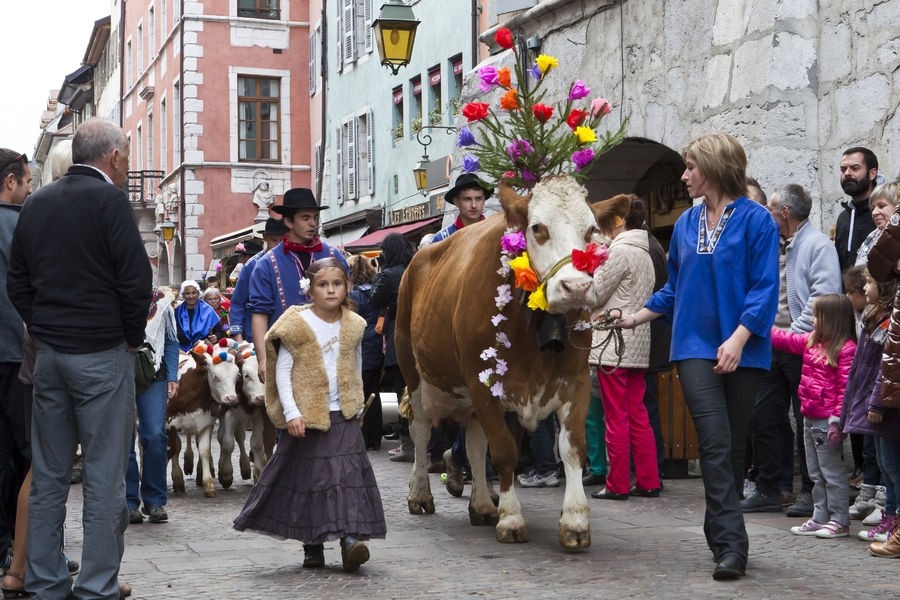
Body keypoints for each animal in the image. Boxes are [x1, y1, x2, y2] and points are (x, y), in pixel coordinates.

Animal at [398, 175, 628, 548]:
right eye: (537, 227)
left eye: (592, 230)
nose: (576, 287)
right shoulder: (485, 385)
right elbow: (505, 451)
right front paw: (511, 519)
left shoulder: (576, 382)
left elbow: (572, 448)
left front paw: (575, 522)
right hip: (415, 373)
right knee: (420, 430)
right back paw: (420, 495)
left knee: (475, 442)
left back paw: (481, 504)